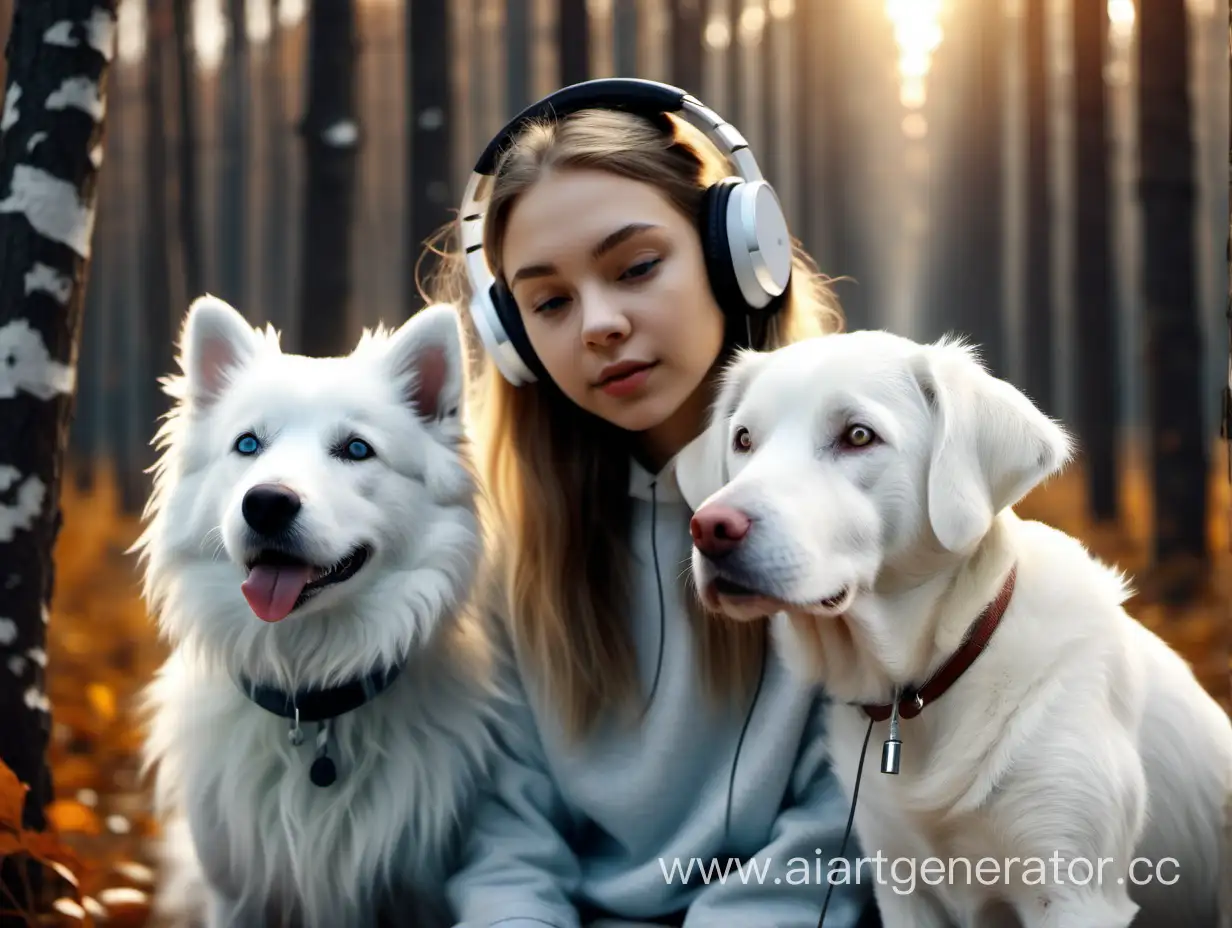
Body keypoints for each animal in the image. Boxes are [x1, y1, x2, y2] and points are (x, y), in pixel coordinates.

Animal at [684, 330, 1232, 926]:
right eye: (743, 440)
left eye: (858, 435)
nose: (709, 528)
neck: (932, 679)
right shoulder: (902, 884)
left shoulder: (1072, 889)